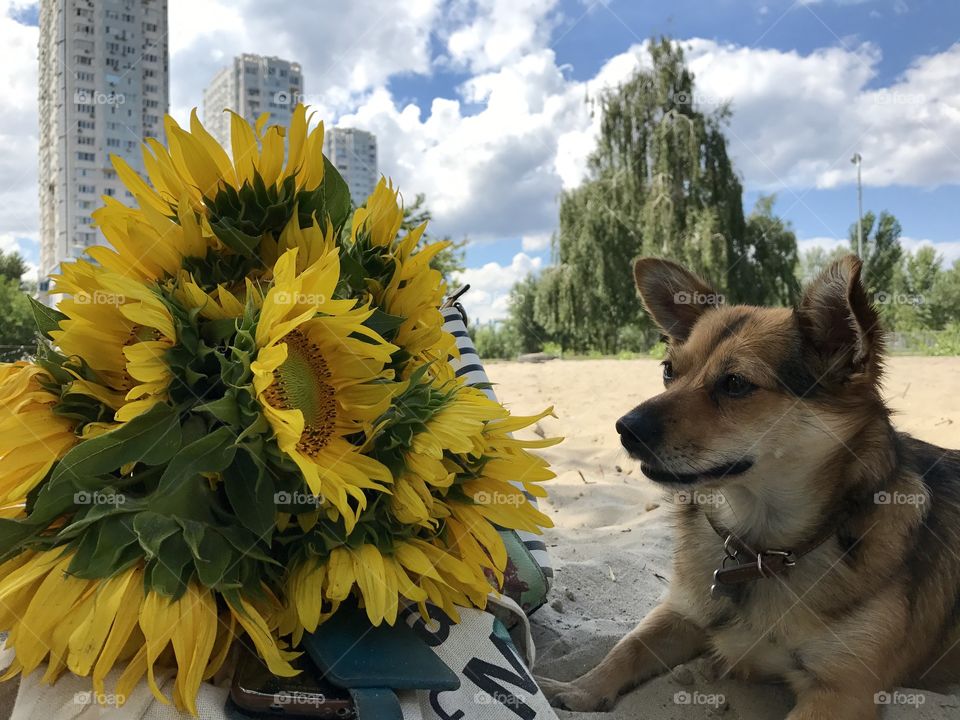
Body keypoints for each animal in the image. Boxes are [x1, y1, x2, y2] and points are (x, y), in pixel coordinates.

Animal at [540, 256, 960, 716]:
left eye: (736, 383)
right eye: (669, 371)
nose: (625, 429)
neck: (763, 549)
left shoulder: (841, 693)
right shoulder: (680, 612)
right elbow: (628, 645)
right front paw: (578, 688)